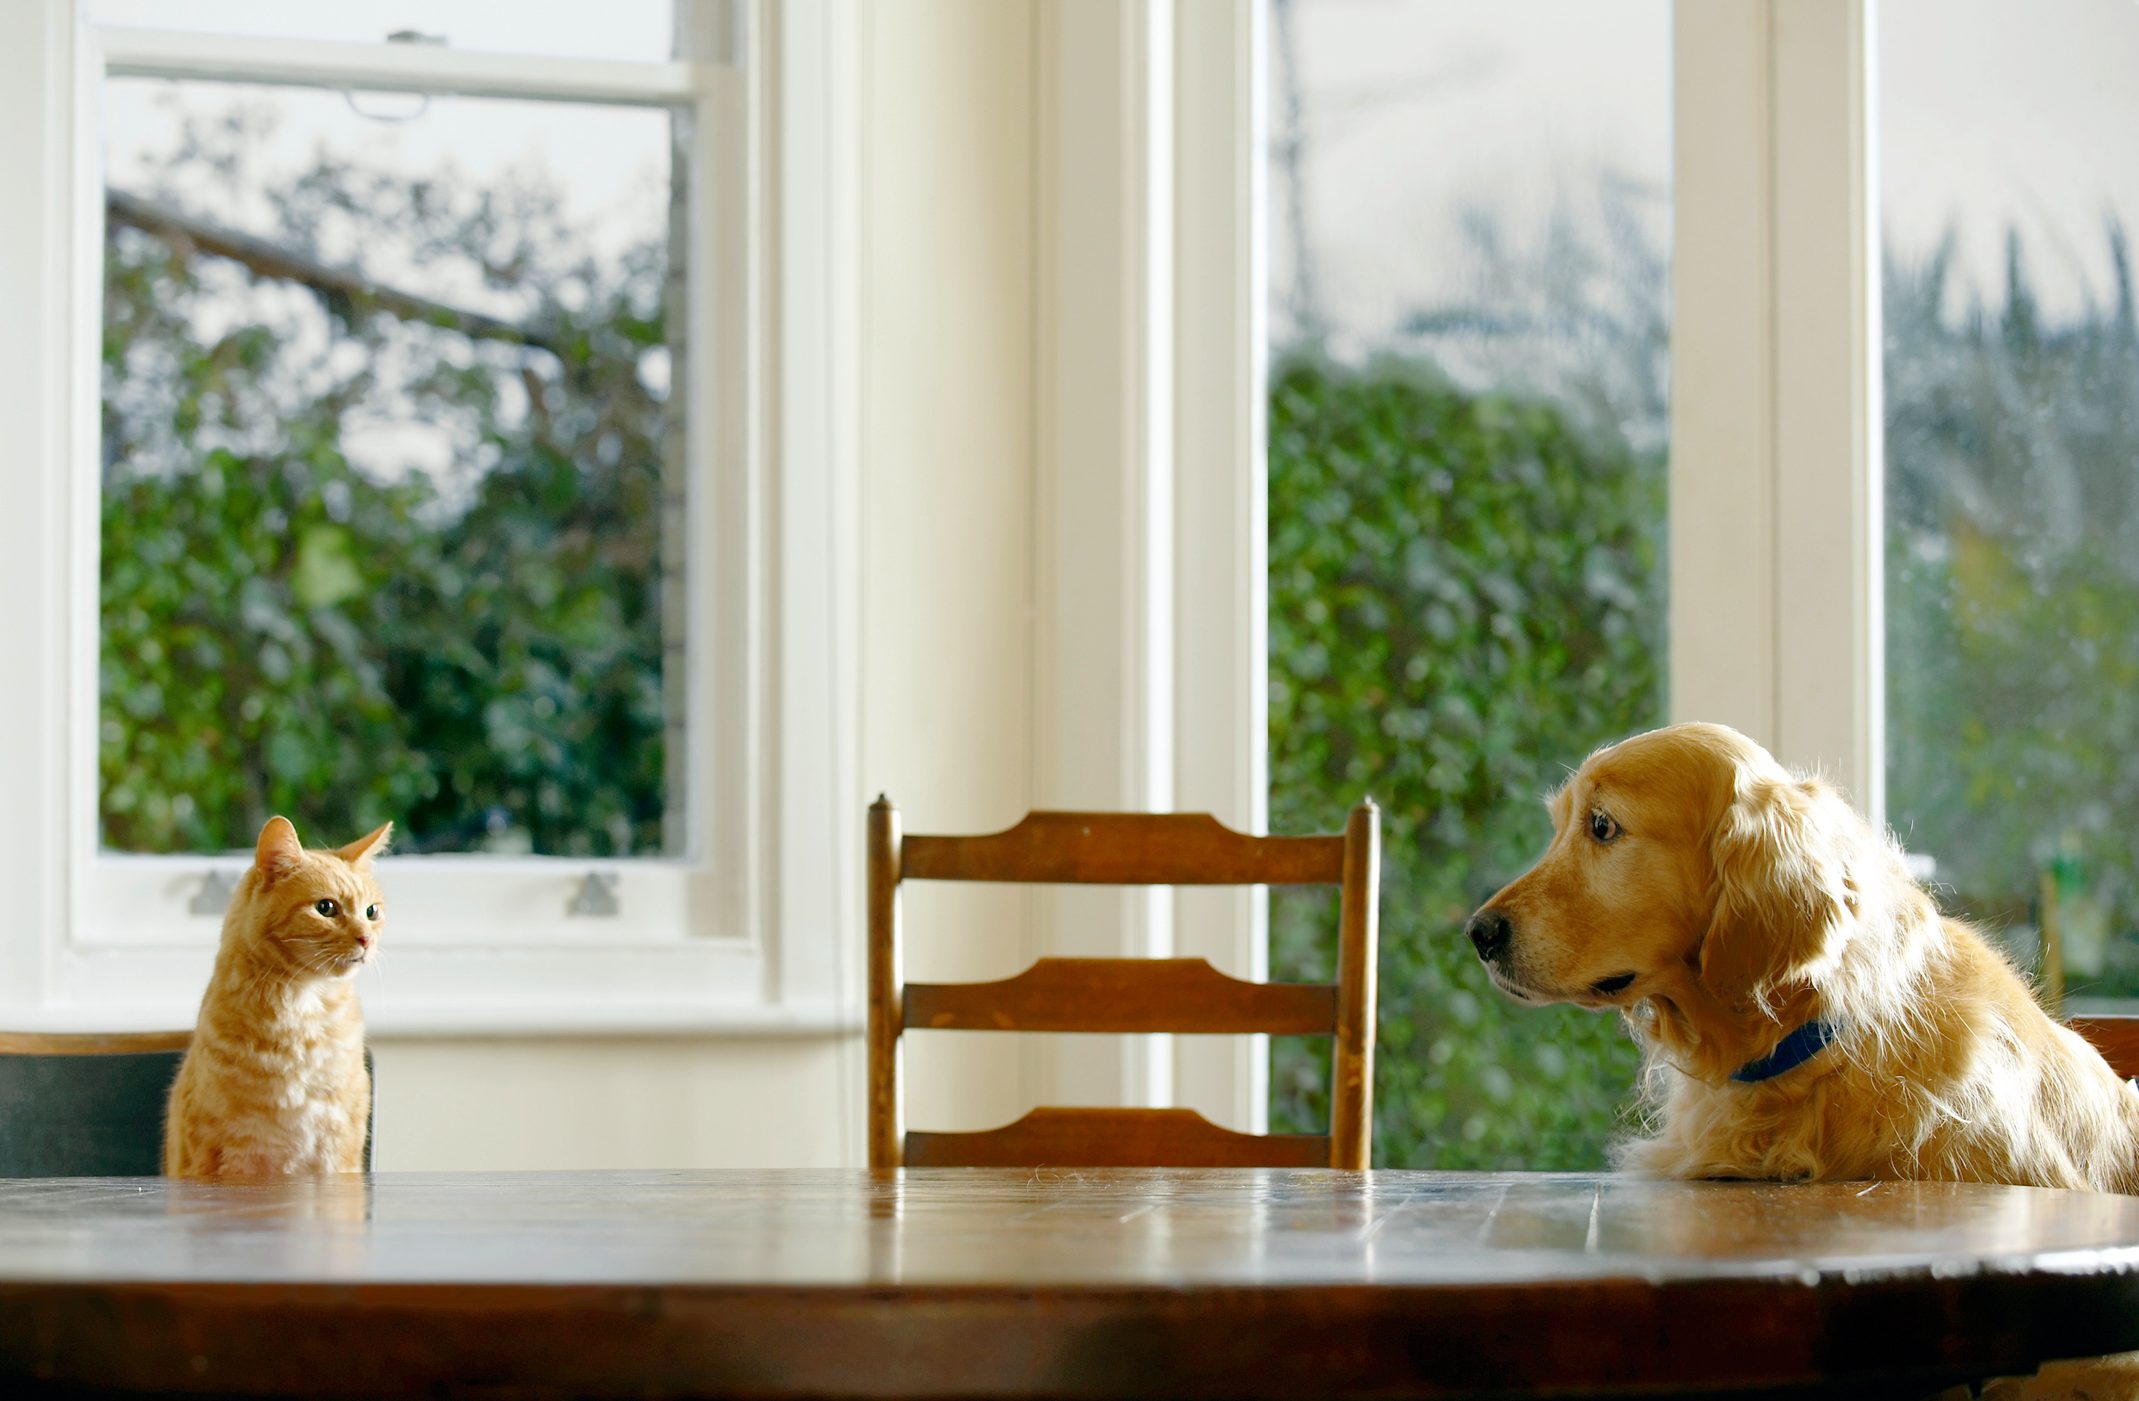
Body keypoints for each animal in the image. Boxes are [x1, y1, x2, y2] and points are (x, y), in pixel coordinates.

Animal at [164, 817, 391, 1180]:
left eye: (372, 912)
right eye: (325, 908)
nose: (366, 939)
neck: (302, 1011)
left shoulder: (339, 1150)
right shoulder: (214, 1154)